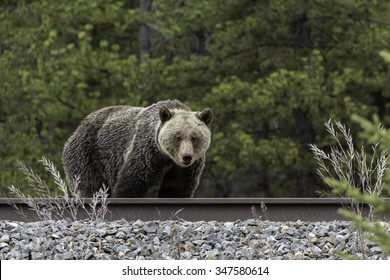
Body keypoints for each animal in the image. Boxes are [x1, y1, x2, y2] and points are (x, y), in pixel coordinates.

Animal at [61, 99, 213, 198]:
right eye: (178, 137)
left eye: (194, 138)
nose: (186, 157)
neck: (167, 158)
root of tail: (78, 129)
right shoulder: (147, 153)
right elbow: (132, 182)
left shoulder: (183, 169)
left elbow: (177, 189)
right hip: (87, 154)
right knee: (89, 185)